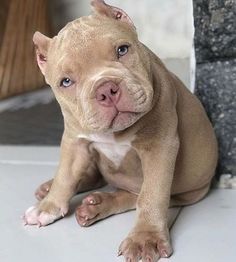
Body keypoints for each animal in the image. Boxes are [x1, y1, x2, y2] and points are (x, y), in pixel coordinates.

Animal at [23, 1, 218, 260]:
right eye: (66, 82)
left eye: (122, 50)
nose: (106, 89)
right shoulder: (74, 141)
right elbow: (65, 176)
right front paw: (48, 206)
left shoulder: (159, 147)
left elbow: (151, 195)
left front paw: (145, 238)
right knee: (94, 176)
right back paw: (54, 188)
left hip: (190, 191)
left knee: (138, 195)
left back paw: (99, 204)